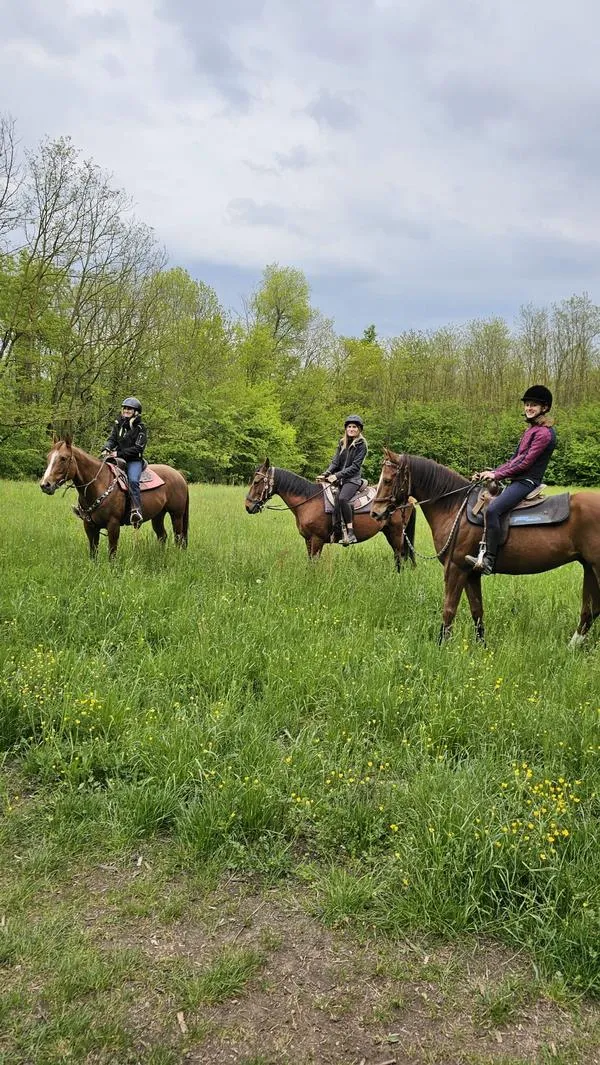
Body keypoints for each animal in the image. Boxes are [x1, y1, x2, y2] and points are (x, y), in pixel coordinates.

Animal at [40, 437, 189, 558]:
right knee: (162, 536)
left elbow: (112, 552)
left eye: (63, 458)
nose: (45, 485)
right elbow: (93, 552)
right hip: (158, 515)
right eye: (48, 457)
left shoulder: (113, 525)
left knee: (179, 537)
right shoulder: (89, 526)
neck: (99, 484)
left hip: (176, 515)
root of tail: (178, 474)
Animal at [245, 459, 416, 569]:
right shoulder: (308, 540)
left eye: (257, 481)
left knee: (399, 555)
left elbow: (314, 564)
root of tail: (408, 498)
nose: (248, 506)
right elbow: (310, 562)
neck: (308, 501)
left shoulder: (317, 540)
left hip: (396, 533)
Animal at [370, 448, 600, 645]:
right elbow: (477, 610)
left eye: (388, 480)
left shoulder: (456, 568)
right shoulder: (471, 572)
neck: (454, 506)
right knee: (589, 610)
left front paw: (441, 646)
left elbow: (449, 608)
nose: (375, 512)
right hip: (588, 568)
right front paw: (482, 645)